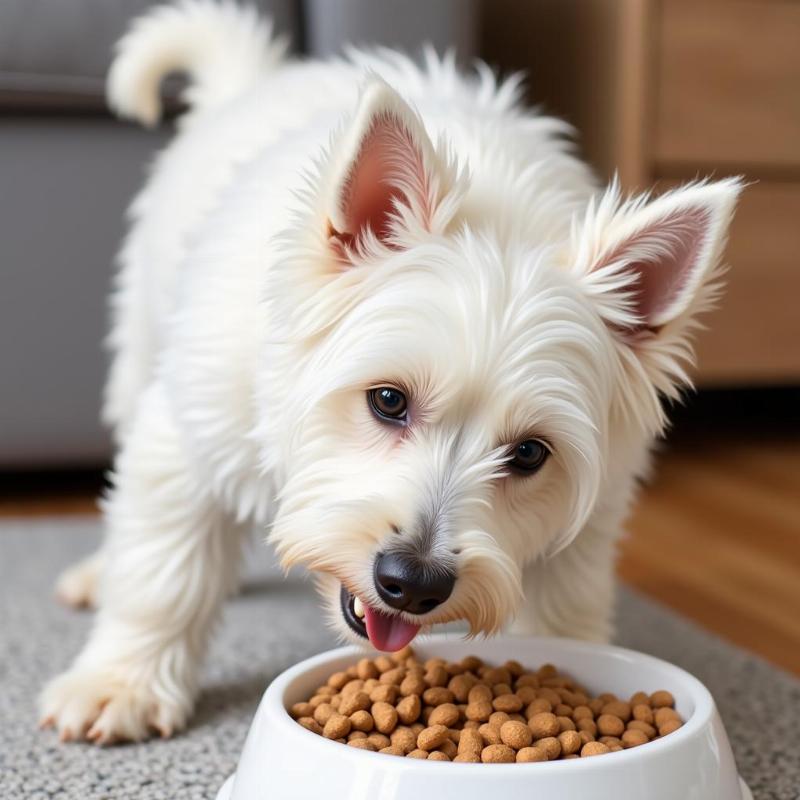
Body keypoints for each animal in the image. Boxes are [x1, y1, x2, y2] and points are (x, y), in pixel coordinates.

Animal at [40, 3, 744, 748]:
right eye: (387, 400)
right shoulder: (192, 428)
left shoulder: (593, 505)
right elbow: (163, 569)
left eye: (530, 453)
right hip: (141, 343)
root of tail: (259, 80)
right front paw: (120, 683)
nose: (413, 581)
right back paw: (96, 575)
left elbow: (563, 605)